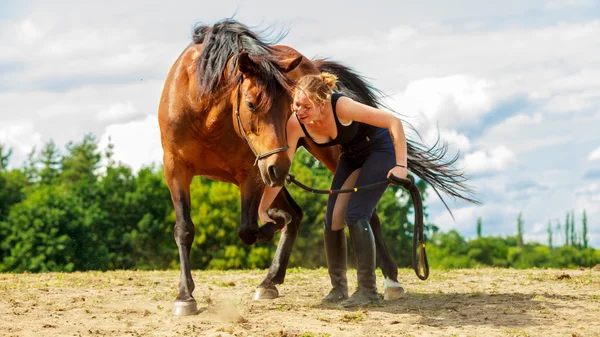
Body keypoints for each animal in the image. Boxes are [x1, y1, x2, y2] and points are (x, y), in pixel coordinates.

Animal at [159, 18, 478, 314]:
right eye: (250, 104)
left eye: (288, 108)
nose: (280, 168)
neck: (205, 115)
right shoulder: (177, 169)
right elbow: (185, 229)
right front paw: (185, 296)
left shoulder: (251, 173)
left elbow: (247, 229)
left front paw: (268, 225)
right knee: (300, 214)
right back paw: (270, 280)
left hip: (328, 157)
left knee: (366, 213)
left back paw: (391, 281)